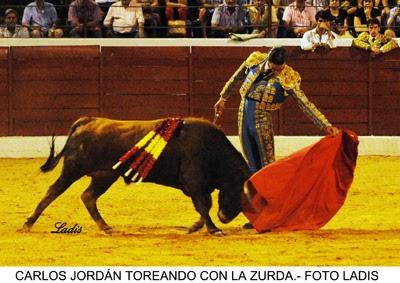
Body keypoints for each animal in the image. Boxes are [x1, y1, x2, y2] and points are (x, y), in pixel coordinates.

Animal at [21, 116, 250, 236]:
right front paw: (214, 229)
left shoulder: (199, 186)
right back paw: (28, 223)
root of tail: (89, 121)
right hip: (72, 171)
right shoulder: (195, 181)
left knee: (88, 196)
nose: (225, 217)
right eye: (238, 191)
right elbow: (203, 206)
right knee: (53, 192)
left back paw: (105, 226)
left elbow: (203, 206)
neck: (212, 149)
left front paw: (195, 227)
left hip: (104, 175)